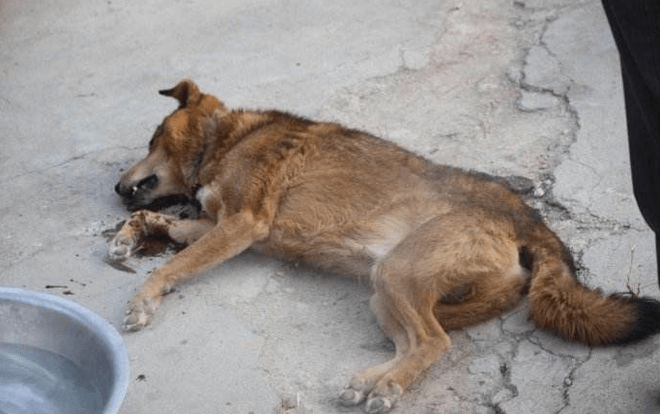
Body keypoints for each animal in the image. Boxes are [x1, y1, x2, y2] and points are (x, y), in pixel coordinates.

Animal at [111, 79, 660, 412]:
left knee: (435, 342)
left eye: (152, 139)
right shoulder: (220, 228)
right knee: (415, 342)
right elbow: (157, 222)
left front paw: (142, 299)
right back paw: (371, 381)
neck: (224, 138)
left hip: (398, 273)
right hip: (385, 291)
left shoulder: (240, 226)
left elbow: (174, 266)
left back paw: (389, 387)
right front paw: (128, 237)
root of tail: (529, 219)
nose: (116, 187)